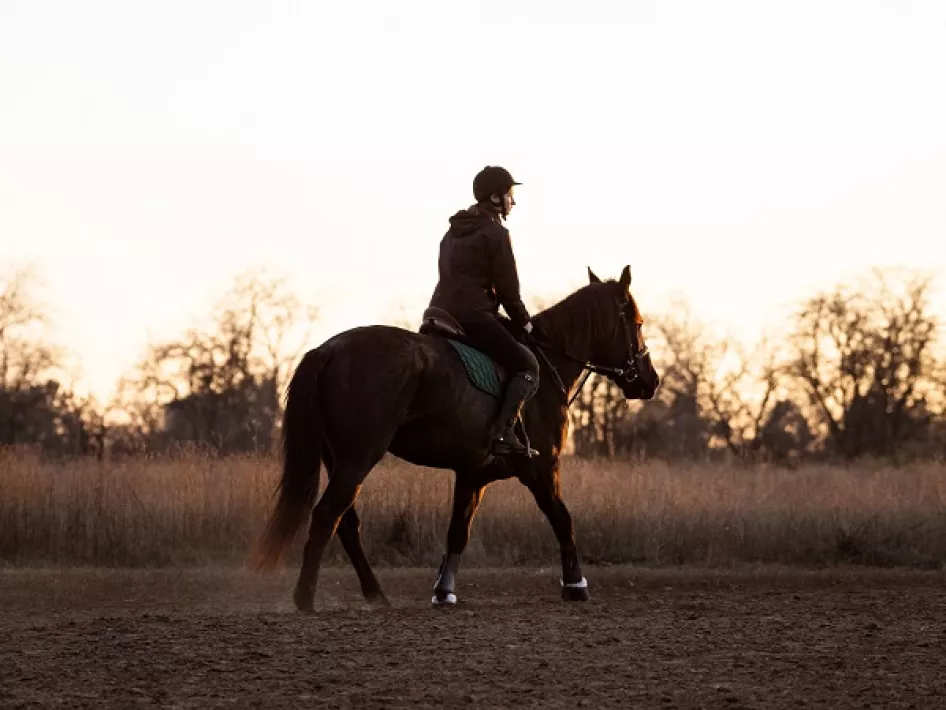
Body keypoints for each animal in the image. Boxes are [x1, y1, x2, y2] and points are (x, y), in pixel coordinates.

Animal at [251, 264, 660, 611]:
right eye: (638, 323)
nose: (650, 380)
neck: (548, 366)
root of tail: (328, 349)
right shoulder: (541, 469)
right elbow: (563, 520)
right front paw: (576, 586)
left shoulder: (472, 476)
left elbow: (457, 532)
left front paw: (443, 592)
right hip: (358, 458)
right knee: (327, 516)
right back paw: (306, 598)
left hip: (339, 459)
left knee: (346, 523)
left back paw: (376, 595)